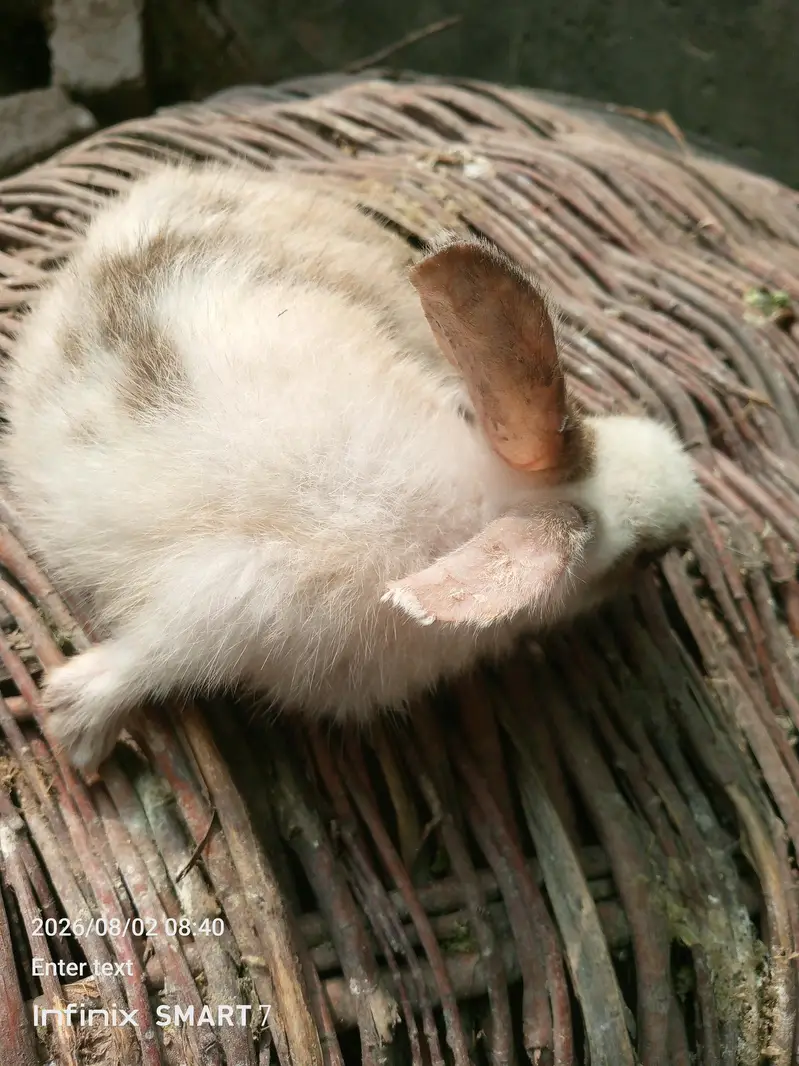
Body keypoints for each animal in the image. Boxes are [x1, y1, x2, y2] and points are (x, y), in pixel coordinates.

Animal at [0, 162, 701, 773]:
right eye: (641, 557)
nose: (690, 513)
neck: (475, 507)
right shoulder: (227, 603)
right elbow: (151, 658)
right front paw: (77, 731)